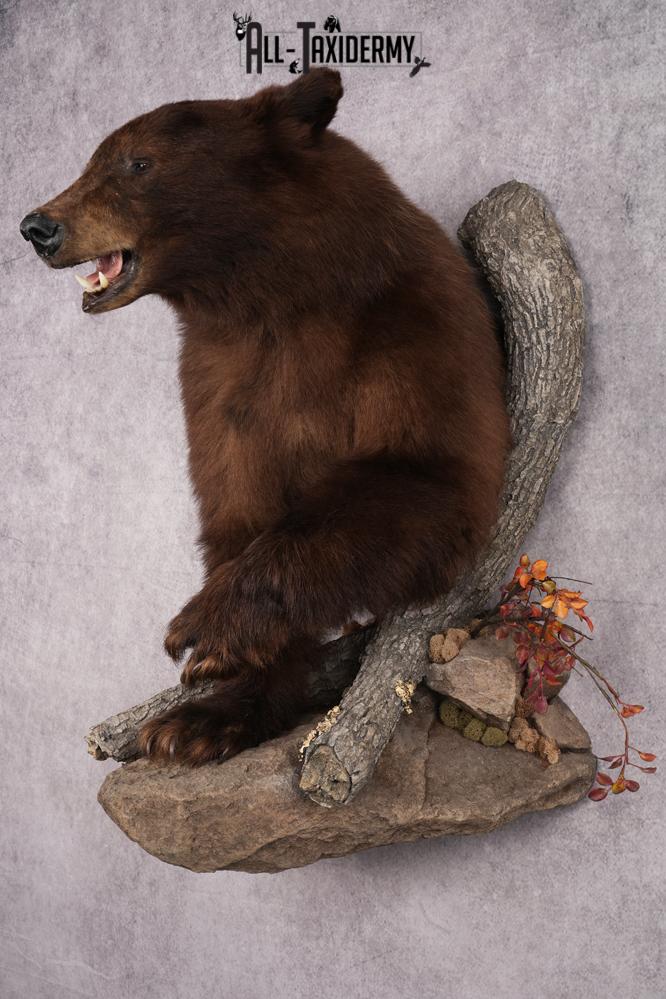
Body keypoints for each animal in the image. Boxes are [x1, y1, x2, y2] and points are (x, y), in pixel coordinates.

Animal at [20, 69, 510, 765]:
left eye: (138, 163)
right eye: (93, 159)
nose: (38, 226)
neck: (272, 295)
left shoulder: (413, 327)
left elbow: (424, 477)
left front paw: (206, 630)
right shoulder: (220, 380)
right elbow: (238, 505)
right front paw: (205, 717)